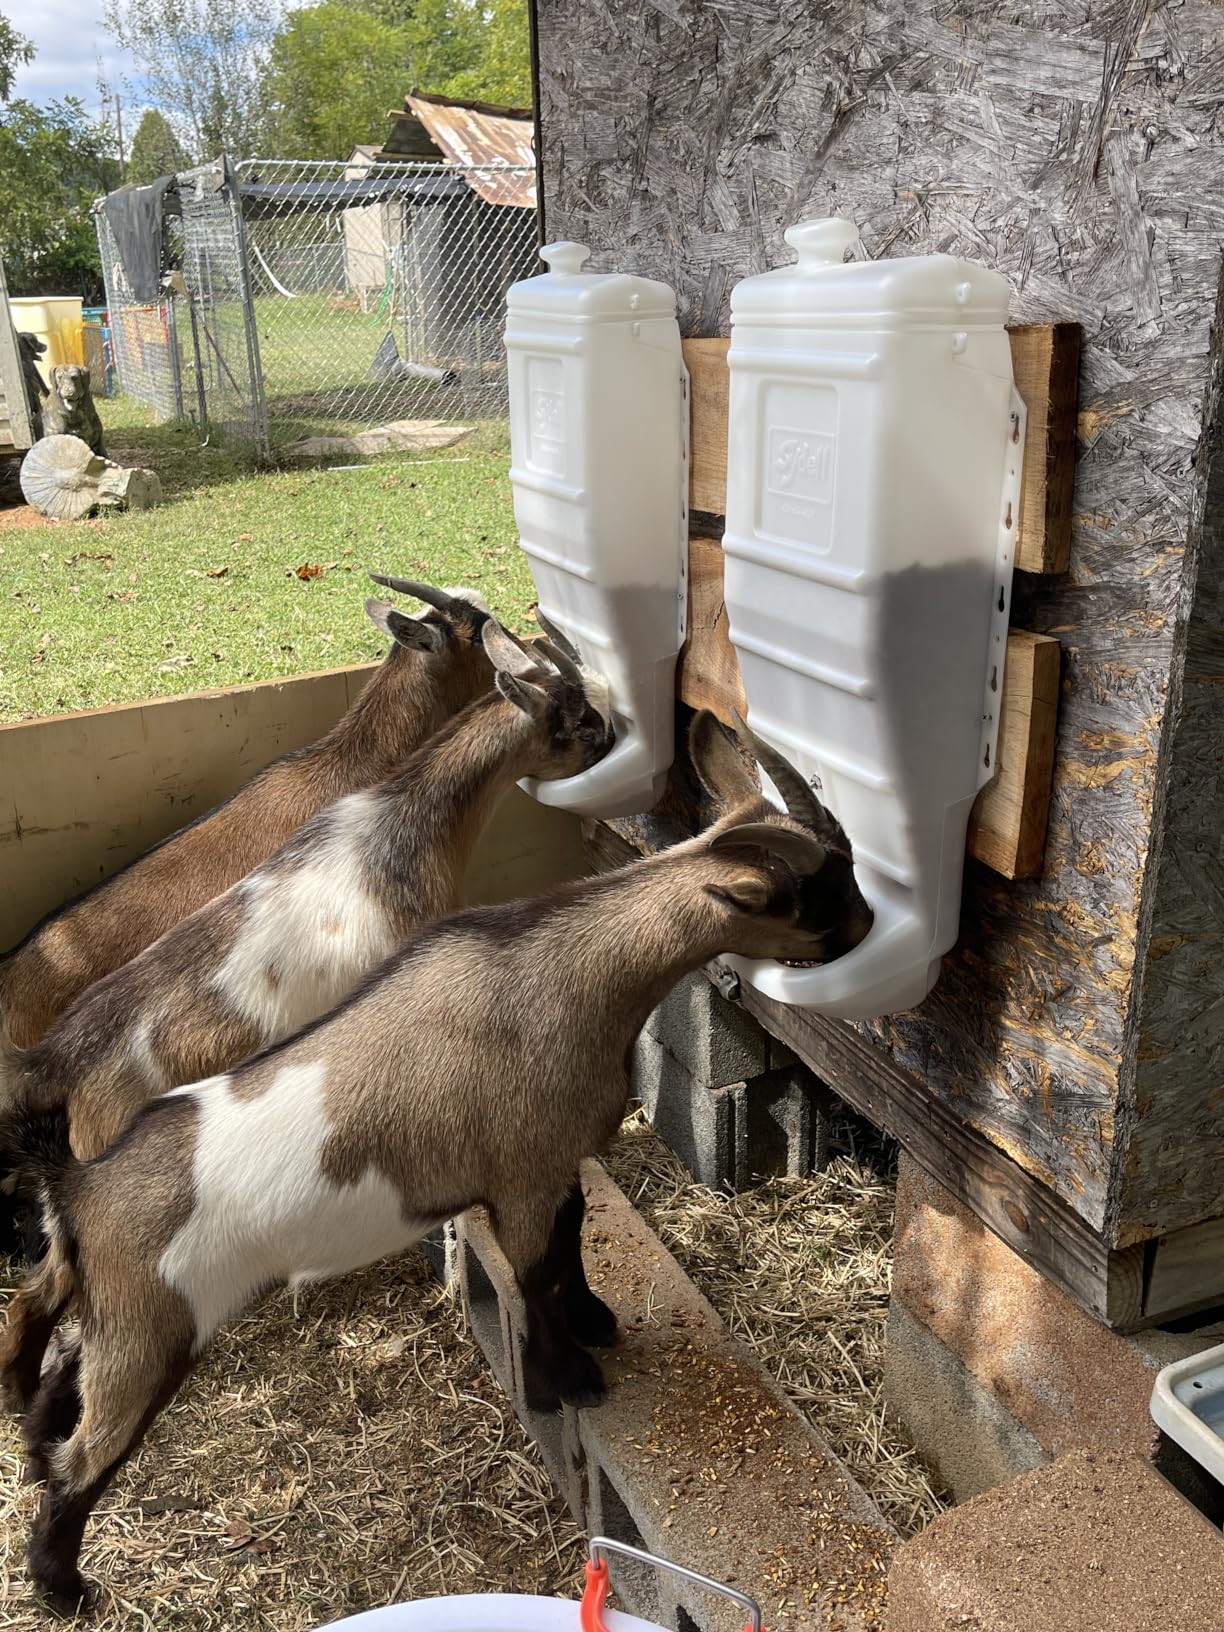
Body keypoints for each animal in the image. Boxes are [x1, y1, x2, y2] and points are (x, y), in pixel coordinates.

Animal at [2, 710, 872, 1610]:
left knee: (64, 1362)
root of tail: (78, 1184)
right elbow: (534, 1278)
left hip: (115, 1309)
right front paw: (570, 1376)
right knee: (87, 1453)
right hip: (152, 1330)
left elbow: (572, 1242)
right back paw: (63, 1586)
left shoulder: (552, 1162)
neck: (574, 971)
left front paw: (596, 1320)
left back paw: (30, 1454)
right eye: (821, 893)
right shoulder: (523, 1174)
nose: (868, 929)